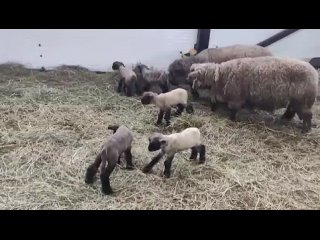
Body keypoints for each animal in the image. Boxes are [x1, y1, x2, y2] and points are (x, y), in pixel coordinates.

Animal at [186, 55, 318, 132]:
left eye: (196, 76)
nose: (188, 78)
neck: (221, 75)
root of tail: (314, 73)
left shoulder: (236, 97)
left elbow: (233, 110)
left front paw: (232, 119)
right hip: (296, 100)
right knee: (292, 110)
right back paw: (284, 119)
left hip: (302, 100)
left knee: (308, 115)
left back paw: (306, 129)